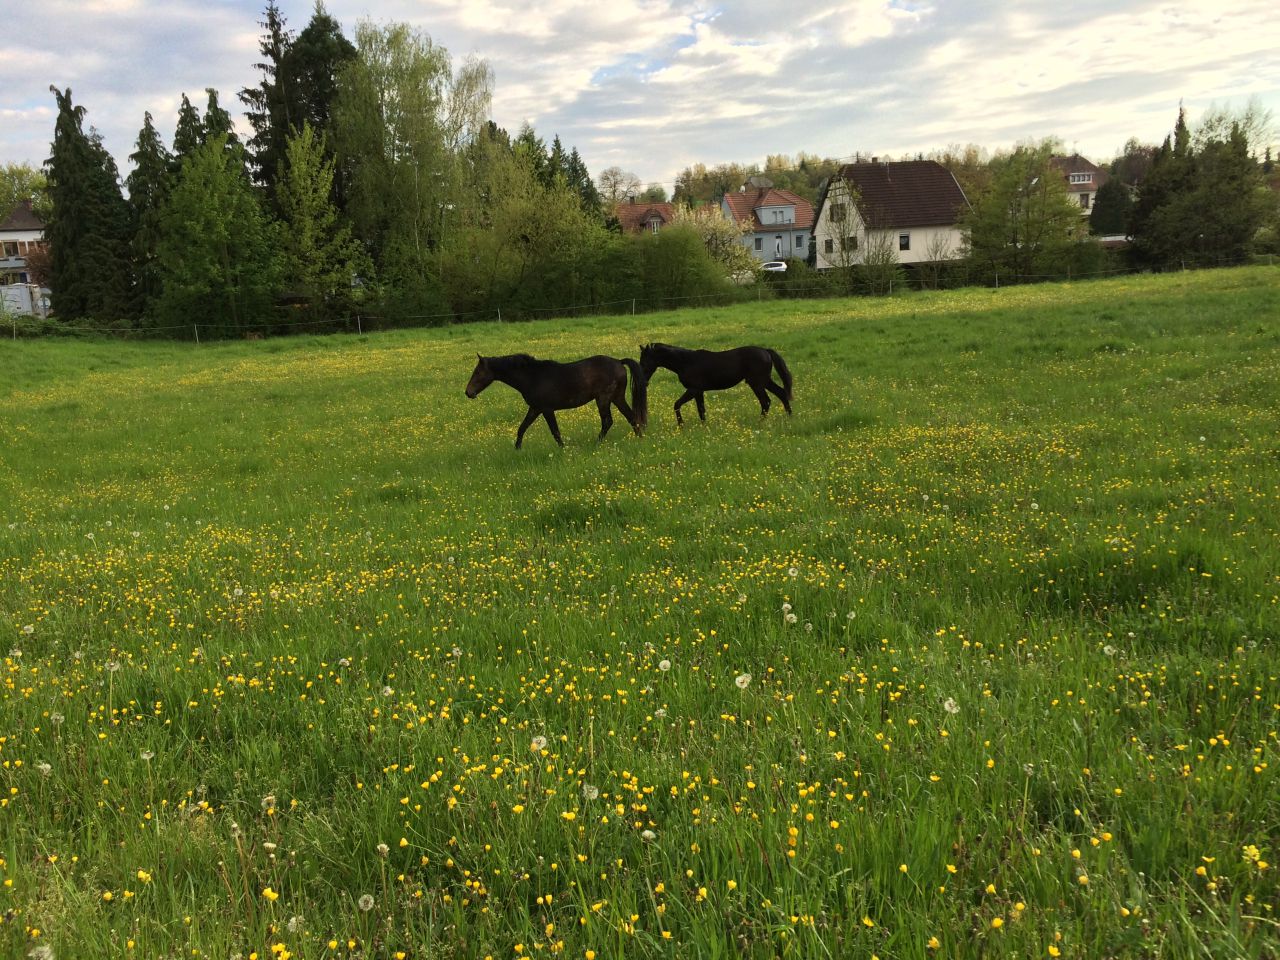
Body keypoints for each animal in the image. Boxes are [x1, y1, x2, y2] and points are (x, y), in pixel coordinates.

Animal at [465, 353, 648, 449]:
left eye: (478, 373)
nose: (468, 392)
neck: (532, 377)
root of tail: (619, 362)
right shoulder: (535, 408)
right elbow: (521, 428)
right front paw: (517, 449)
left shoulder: (546, 409)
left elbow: (555, 432)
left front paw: (563, 450)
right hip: (617, 397)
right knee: (632, 417)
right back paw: (639, 440)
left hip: (603, 399)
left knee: (608, 421)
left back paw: (596, 444)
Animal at [639, 343, 792, 425]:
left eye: (644, 361)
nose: (643, 382)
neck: (686, 362)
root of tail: (765, 351)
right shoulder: (699, 391)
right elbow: (701, 410)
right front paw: (703, 426)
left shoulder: (693, 389)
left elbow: (677, 404)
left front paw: (681, 425)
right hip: (764, 381)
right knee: (781, 393)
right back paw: (789, 417)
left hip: (757, 383)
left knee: (766, 401)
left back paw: (760, 422)